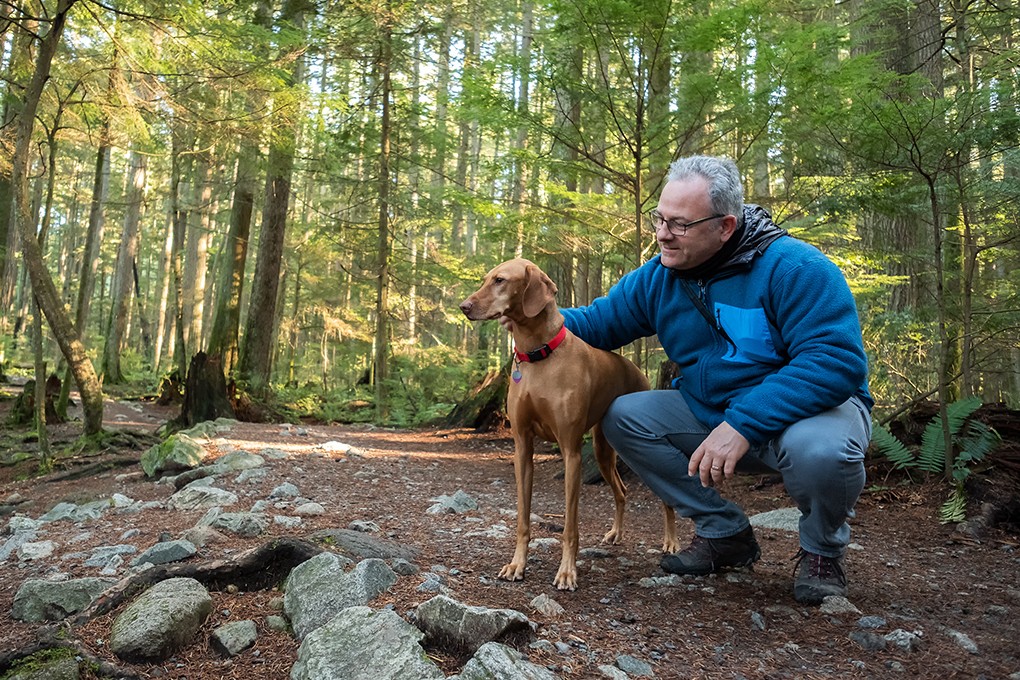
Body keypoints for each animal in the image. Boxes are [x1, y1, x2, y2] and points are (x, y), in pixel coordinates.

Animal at [459, 260, 673, 591]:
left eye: (500, 280)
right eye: (486, 279)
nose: (464, 306)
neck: (538, 356)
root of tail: (637, 370)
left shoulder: (571, 452)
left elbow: (570, 526)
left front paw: (567, 572)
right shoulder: (522, 448)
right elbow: (523, 519)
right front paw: (517, 564)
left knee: (665, 499)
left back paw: (671, 541)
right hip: (602, 450)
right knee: (622, 491)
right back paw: (616, 533)